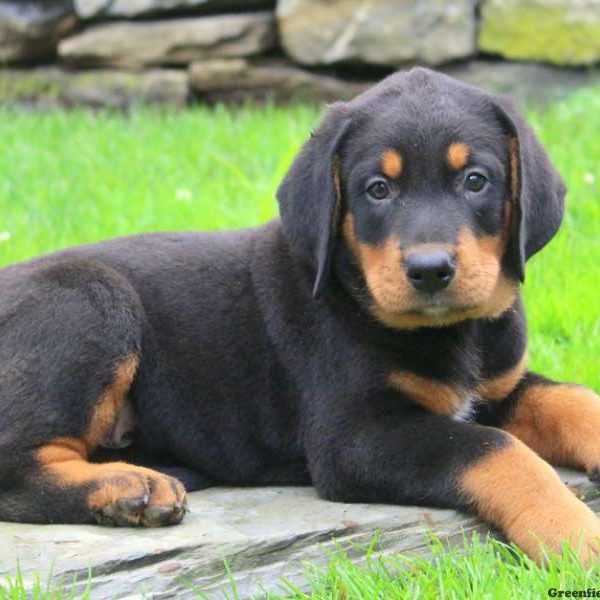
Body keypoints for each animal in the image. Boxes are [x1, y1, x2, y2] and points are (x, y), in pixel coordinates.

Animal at [1, 70, 600, 564]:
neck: (456, 333)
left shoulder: (499, 387)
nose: (430, 270)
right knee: (13, 471)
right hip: (90, 300)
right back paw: (132, 489)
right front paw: (576, 535)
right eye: (377, 190)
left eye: (476, 180)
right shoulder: (355, 437)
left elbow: (573, 399)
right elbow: (496, 450)